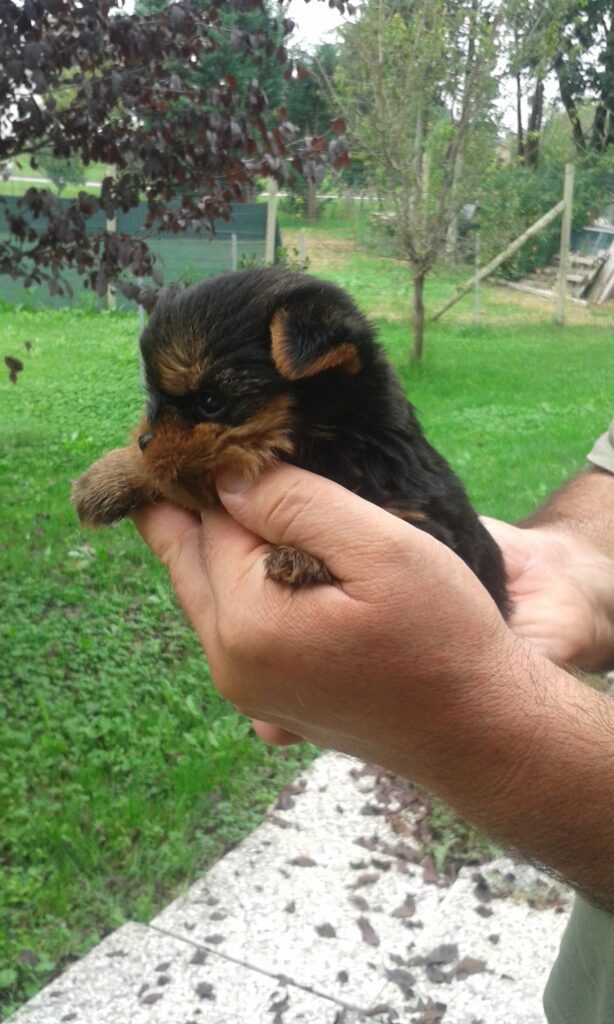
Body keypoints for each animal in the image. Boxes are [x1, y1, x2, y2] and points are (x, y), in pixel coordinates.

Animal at [72, 266, 511, 614]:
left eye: (211, 402)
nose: (145, 440)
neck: (332, 441)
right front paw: (112, 475)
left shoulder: (431, 526)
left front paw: (303, 557)